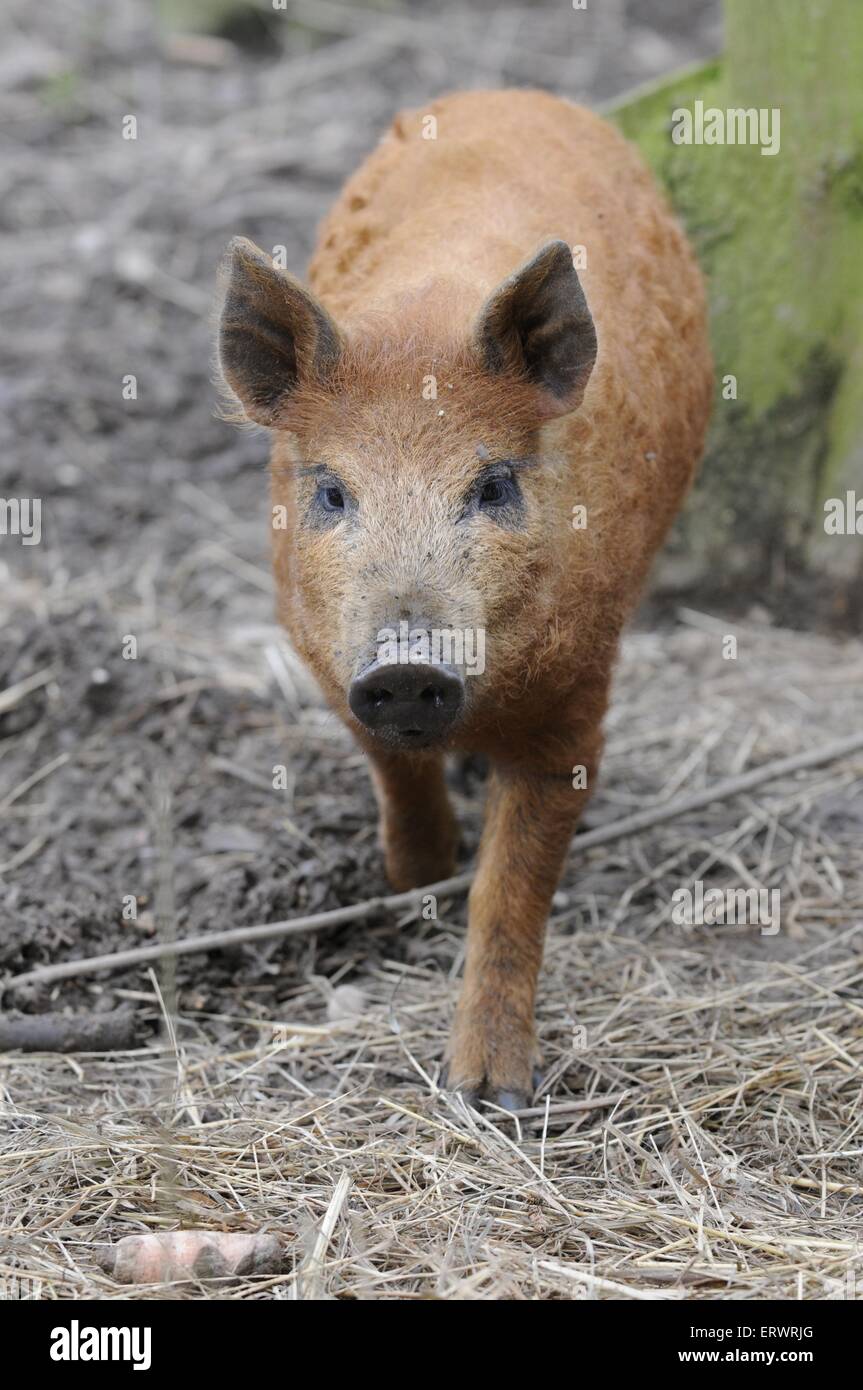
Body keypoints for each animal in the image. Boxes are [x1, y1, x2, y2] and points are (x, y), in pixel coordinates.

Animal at [218, 84, 711, 1106]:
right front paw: (413, 884)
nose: (407, 666)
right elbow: (393, 773)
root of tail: (509, 94)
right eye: (332, 492)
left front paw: (490, 1095)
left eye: (491, 486)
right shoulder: (327, 659)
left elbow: (512, 887)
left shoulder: (579, 697)